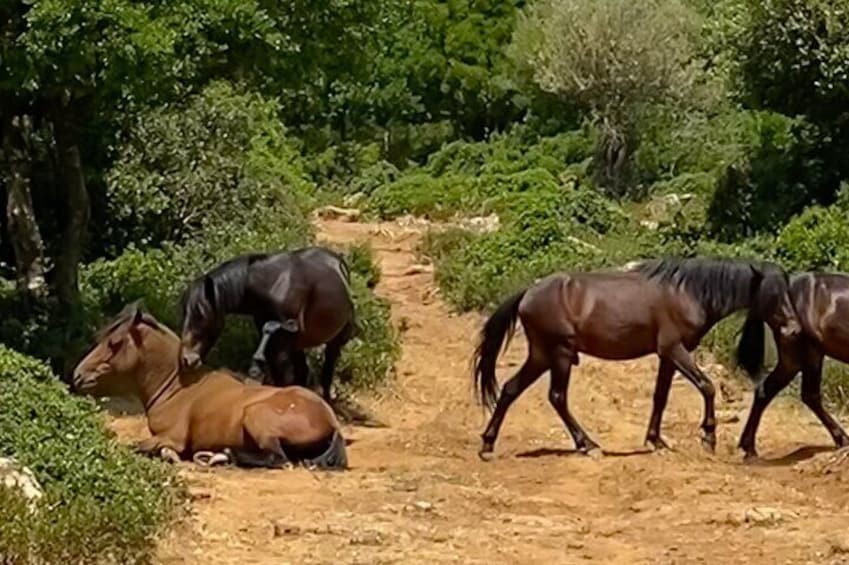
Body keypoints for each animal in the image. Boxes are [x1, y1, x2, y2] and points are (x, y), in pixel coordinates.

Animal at [71, 302, 346, 470]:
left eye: (115, 343)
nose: (78, 376)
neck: (178, 389)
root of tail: (330, 420)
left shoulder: (171, 437)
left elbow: (135, 446)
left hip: (256, 418)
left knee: (276, 457)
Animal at [177, 247, 352, 400]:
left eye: (201, 315)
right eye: (184, 312)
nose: (186, 359)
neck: (275, 285)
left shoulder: (282, 344)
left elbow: (284, 378)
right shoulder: (275, 342)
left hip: (333, 343)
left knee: (326, 375)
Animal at [470, 258, 800, 460]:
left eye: (788, 290)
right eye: (772, 293)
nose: (794, 328)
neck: (688, 293)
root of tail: (528, 293)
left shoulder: (667, 356)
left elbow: (660, 397)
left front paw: (656, 440)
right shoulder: (674, 349)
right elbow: (707, 386)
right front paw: (708, 437)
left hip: (541, 355)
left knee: (510, 389)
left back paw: (487, 443)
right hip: (560, 354)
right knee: (557, 397)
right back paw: (587, 445)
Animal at [732, 270, 848, 460]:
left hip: (791, 360)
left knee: (766, 390)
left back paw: (749, 448)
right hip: (809, 352)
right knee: (810, 395)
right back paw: (842, 439)